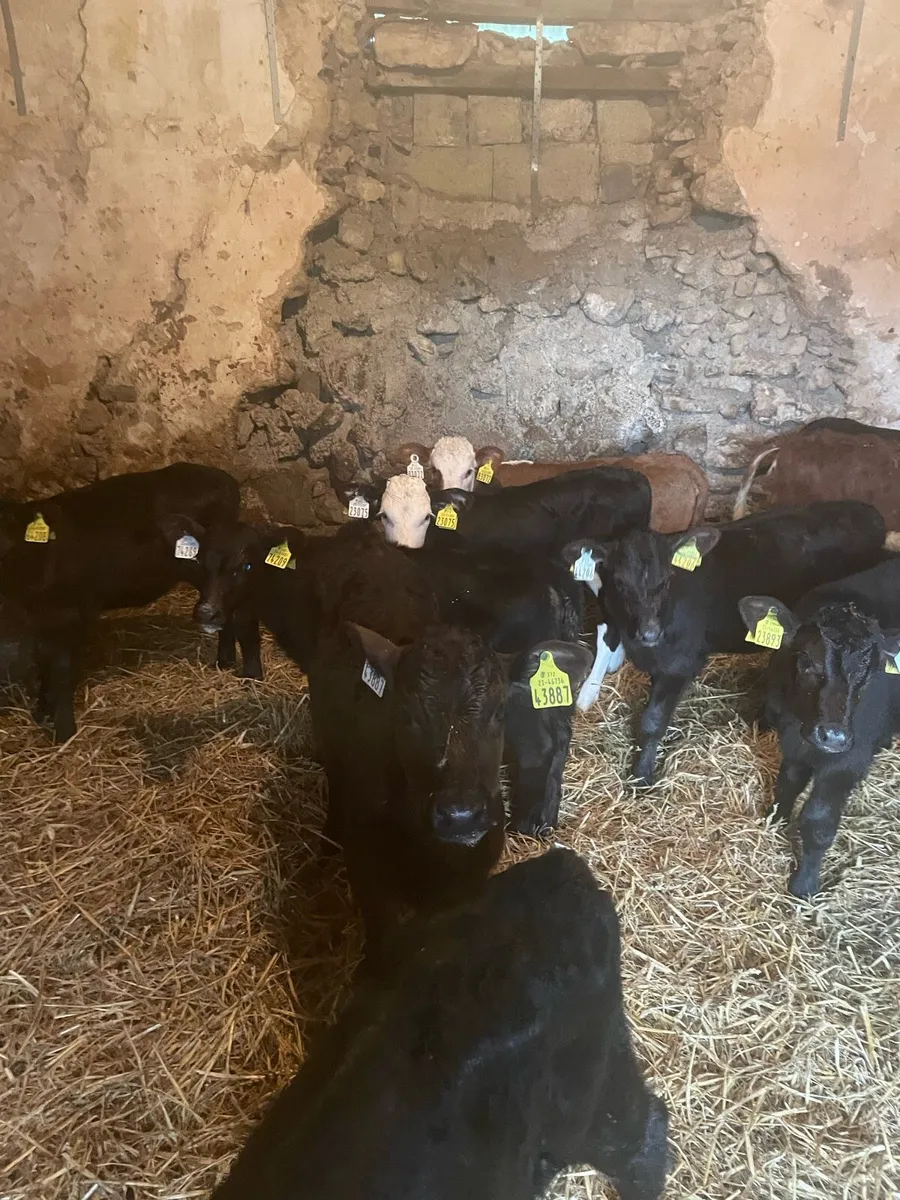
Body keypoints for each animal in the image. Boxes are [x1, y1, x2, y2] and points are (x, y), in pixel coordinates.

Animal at [0, 463, 240, 740]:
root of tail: (225, 478)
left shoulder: (71, 613)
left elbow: (62, 669)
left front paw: (64, 731)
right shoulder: (42, 619)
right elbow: (45, 664)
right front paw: (42, 714)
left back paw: (225, 663)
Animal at [565, 501, 887, 786]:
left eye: (667, 579)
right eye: (619, 583)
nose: (650, 633)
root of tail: (866, 509)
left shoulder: (680, 664)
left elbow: (653, 721)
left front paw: (641, 776)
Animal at [740, 553, 900, 897]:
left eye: (870, 673)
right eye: (806, 660)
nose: (833, 736)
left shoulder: (846, 761)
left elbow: (819, 821)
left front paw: (804, 884)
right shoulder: (791, 742)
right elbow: (787, 784)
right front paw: (774, 819)